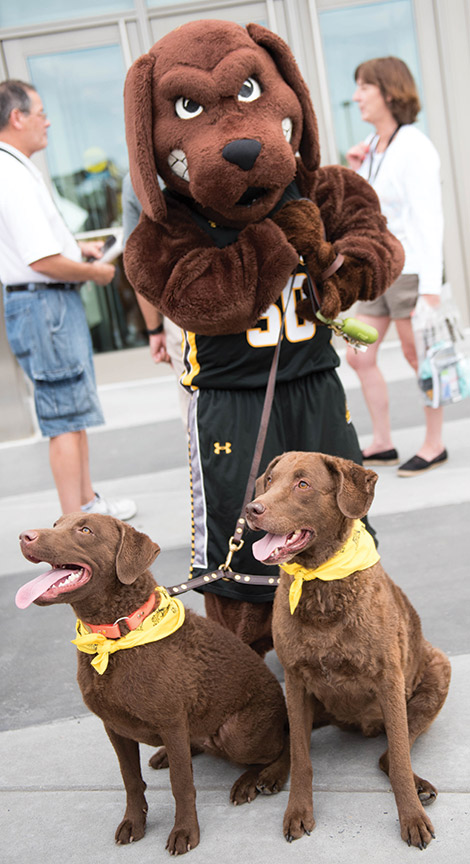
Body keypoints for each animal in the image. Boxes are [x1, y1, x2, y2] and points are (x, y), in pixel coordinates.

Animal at [16, 516, 288, 852]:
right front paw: (134, 822)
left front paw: (185, 831)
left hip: (237, 733)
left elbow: (181, 784)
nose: (24, 536)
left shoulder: (171, 721)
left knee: (286, 744)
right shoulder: (114, 726)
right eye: (56, 524)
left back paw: (258, 779)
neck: (116, 635)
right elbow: (131, 780)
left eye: (85, 530)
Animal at [244, 452, 450, 852]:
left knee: (391, 755)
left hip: (436, 673)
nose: (251, 509)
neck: (321, 583)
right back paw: (269, 773)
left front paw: (412, 818)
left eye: (303, 484)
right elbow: (302, 756)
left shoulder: (389, 679)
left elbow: (399, 759)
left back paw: (420, 785)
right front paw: (297, 812)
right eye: (270, 480)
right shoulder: (295, 680)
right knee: (292, 742)